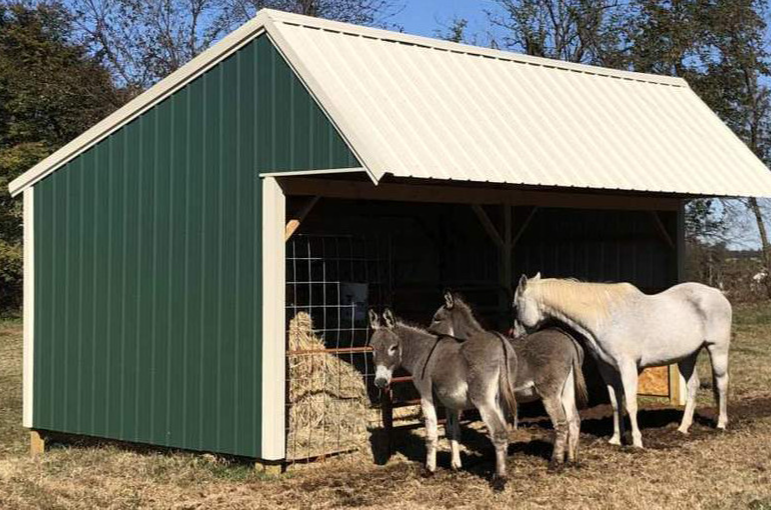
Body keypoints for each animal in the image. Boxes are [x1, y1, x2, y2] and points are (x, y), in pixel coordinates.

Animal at [369, 309, 518, 489]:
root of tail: (499, 340)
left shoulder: (426, 397)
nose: (380, 382)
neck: (423, 353)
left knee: (499, 432)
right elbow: (453, 432)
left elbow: (431, 434)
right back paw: (501, 470)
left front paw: (429, 469)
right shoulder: (451, 402)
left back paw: (500, 480)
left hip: (484, 400)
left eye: (394, 347)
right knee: (505, 430)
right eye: (372, 348)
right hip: (500, 398)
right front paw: (456, 465)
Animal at [429, 292, 588, 467]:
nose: (429, 334)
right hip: (566, 389)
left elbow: (456, 429)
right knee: (574, 420)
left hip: (549, 391)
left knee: (561, 422)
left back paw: (556, 462)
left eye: (436, 318)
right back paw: (572, 459)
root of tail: (569, 341)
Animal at [513, 273, 732, 448]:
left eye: (515, 306)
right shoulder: (607, 370)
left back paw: (721, 424)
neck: (604, 317)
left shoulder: (628, 367)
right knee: (693, 385)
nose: (514, 335)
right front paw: (616, 439)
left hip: (717, 349)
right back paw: (683, 427)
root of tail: (717, 293)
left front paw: (637, 442)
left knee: (722, 383)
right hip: (688, 356)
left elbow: (631, 403)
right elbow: (616, 403)